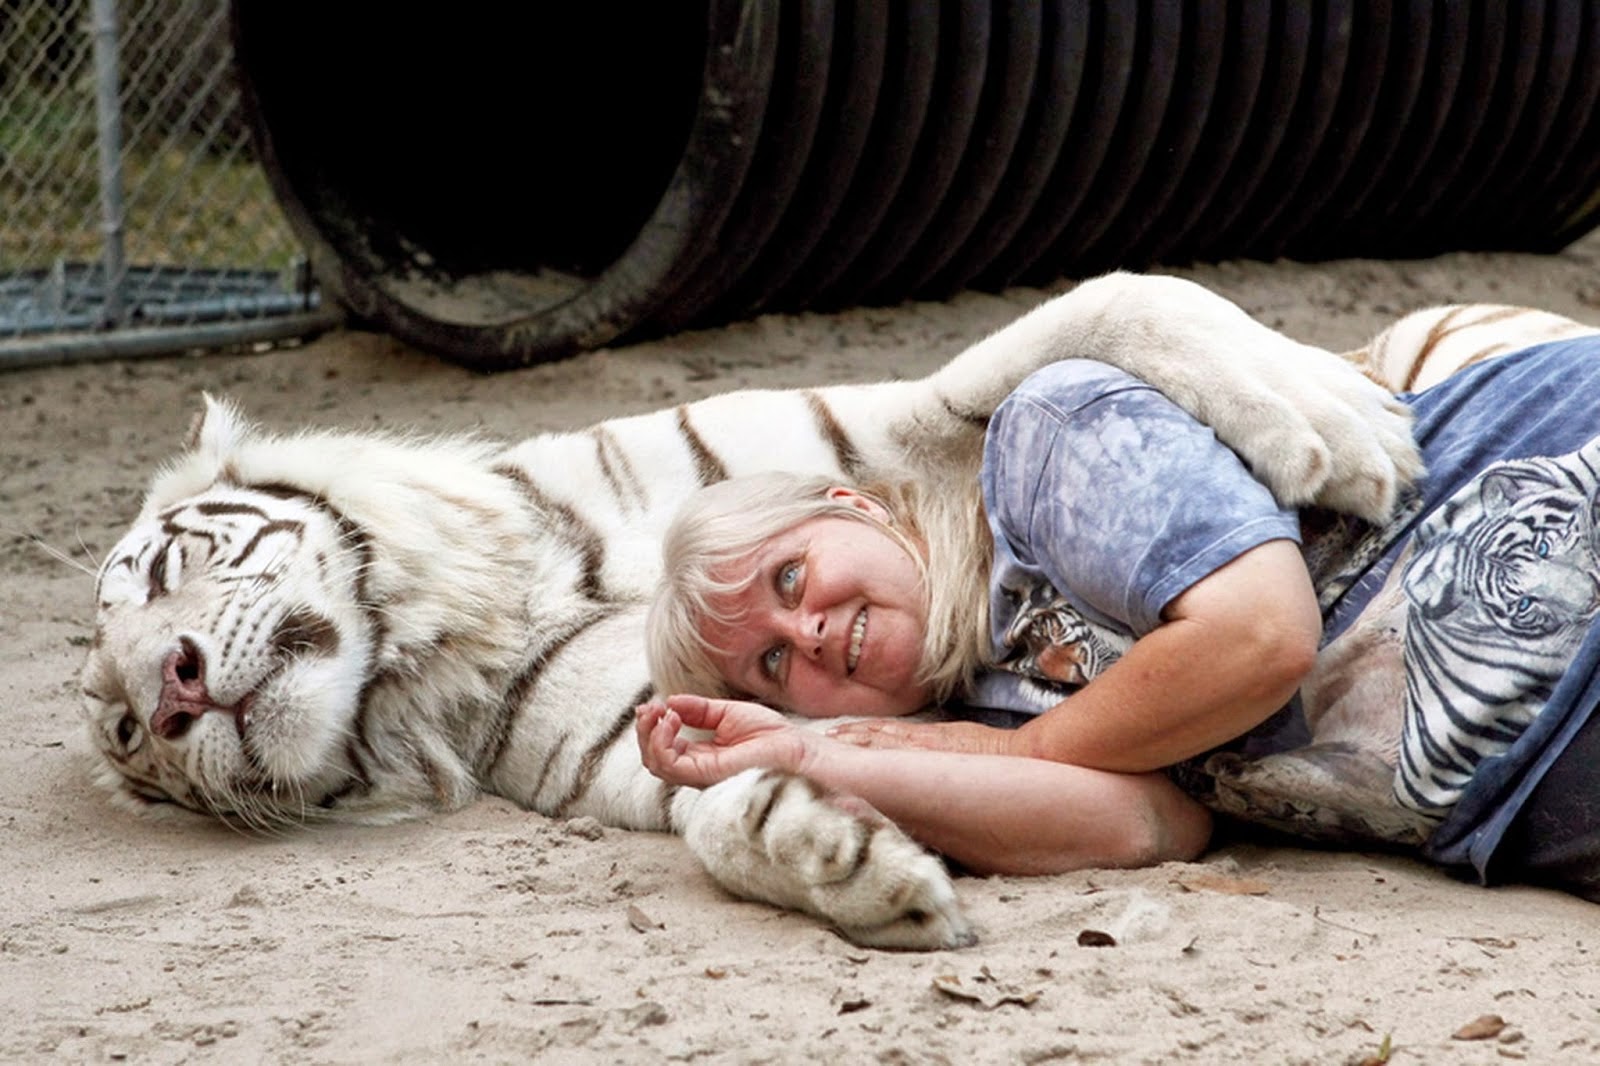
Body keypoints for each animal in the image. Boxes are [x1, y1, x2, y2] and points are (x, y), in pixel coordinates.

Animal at [81, 272, 1529, 947]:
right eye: (130, 747)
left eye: (156, 577)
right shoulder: (652, 727)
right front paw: (846, 863)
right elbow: (724, 805)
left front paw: (1340, 428)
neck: (469, 615)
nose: (172, 692)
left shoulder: (877, 425)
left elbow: (1121, 298)